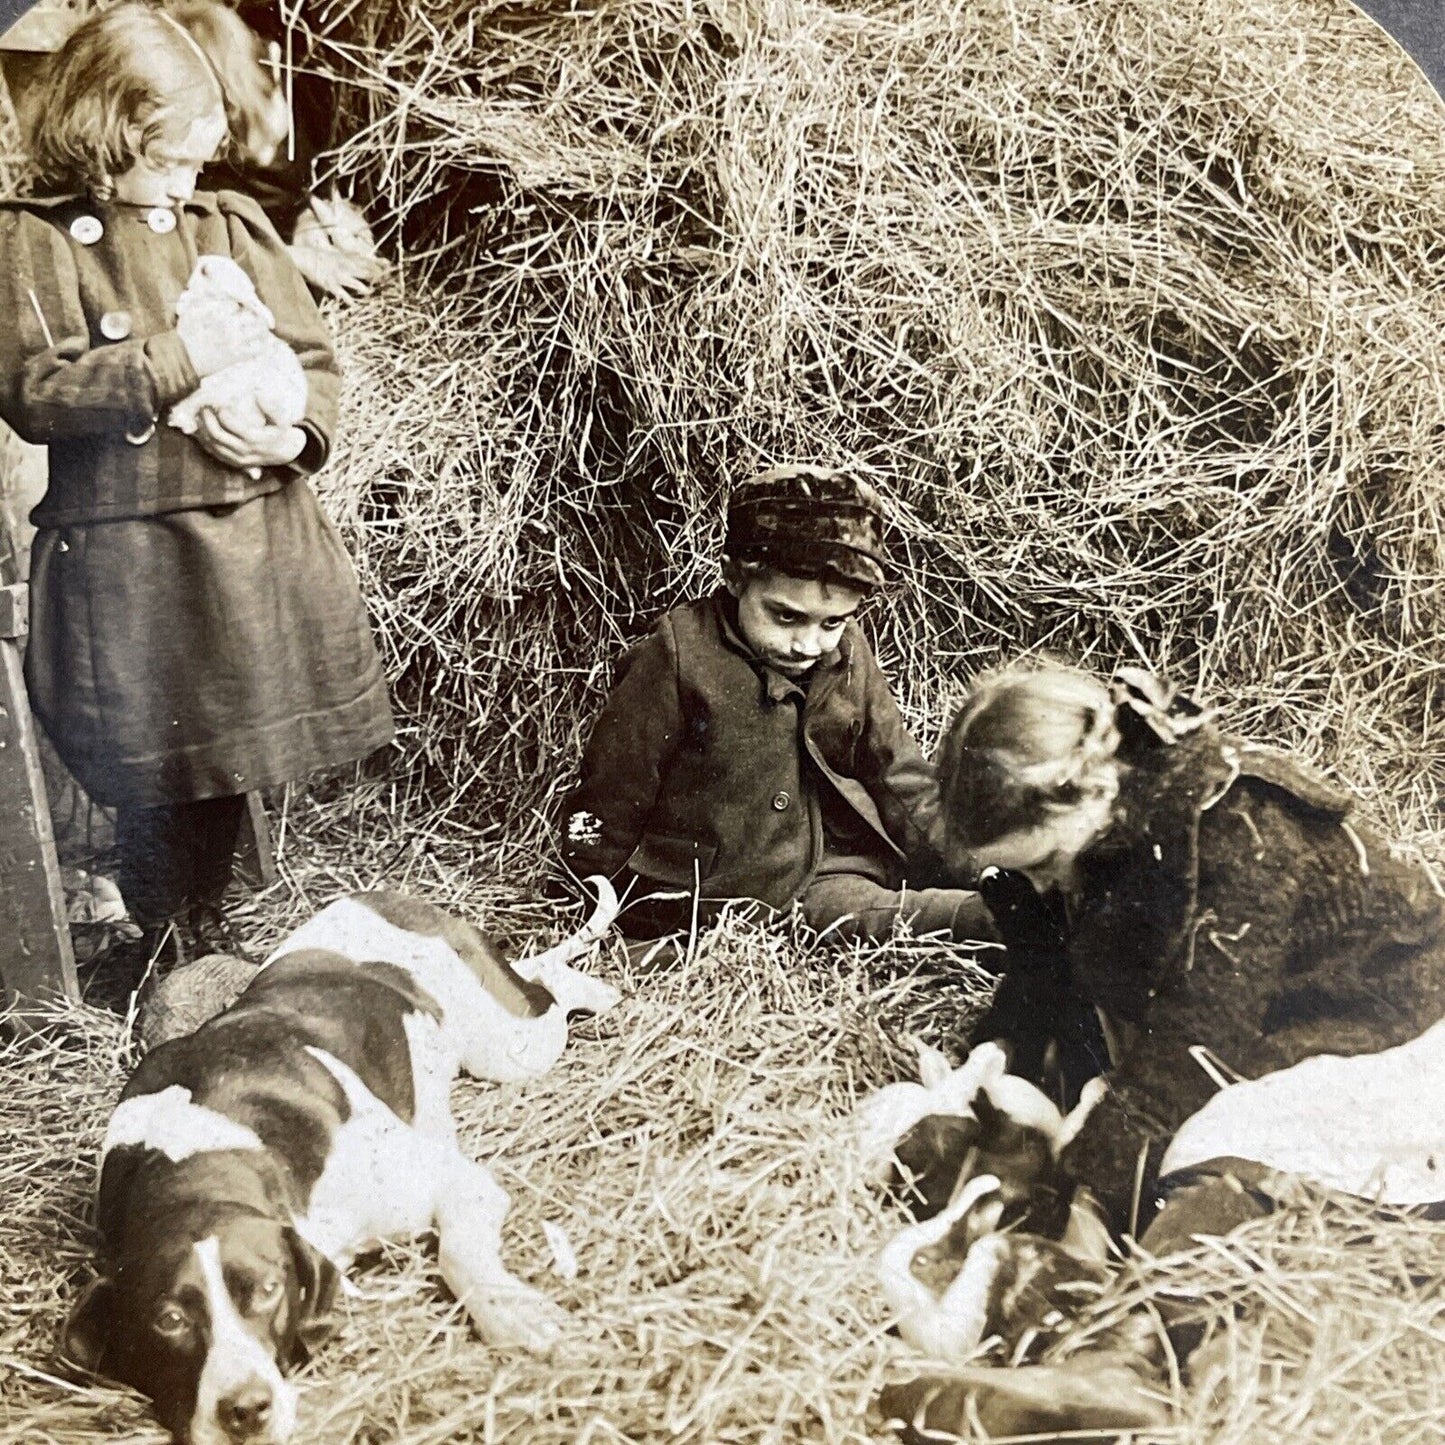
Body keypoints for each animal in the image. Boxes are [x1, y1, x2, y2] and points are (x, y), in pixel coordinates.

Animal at [60, 878, 621, 1445]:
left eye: (269, 1290)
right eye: (168, 1321)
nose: (245, 1409)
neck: (199, 1160)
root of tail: (381, 897)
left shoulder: (455, 1184)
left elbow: (459, 1256)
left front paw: (516, 1315)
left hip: (510, 1047)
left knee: (551, 987)